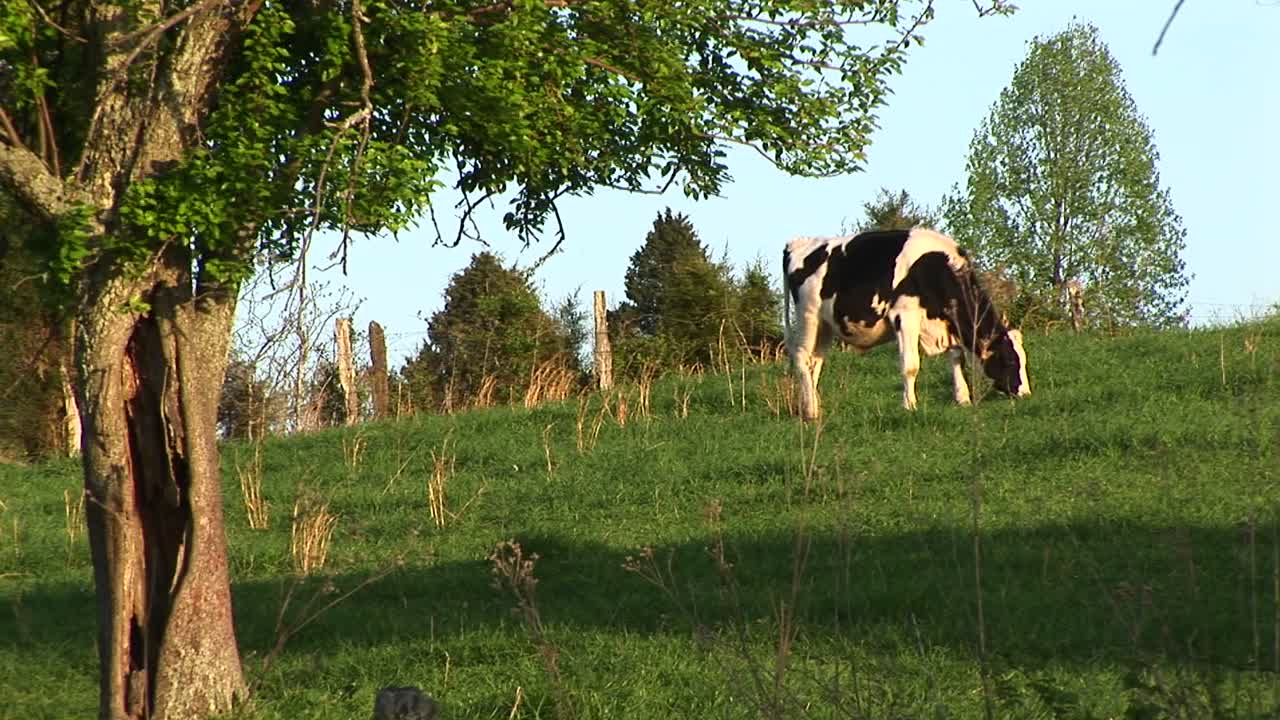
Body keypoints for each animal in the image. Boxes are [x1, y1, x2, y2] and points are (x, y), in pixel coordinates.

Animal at [783, 228, 1029, 419]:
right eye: (1009, 360)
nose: (1026, 394)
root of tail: (798, 243)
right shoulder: (905, 315)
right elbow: (910, 365)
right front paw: (910, 405)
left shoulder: (945, 322)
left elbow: (957, 357)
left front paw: (963, 398)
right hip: (808, 316)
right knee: (802, 357)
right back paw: (811, 413)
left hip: (826, 326)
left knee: (815, 362)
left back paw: (811, 405)